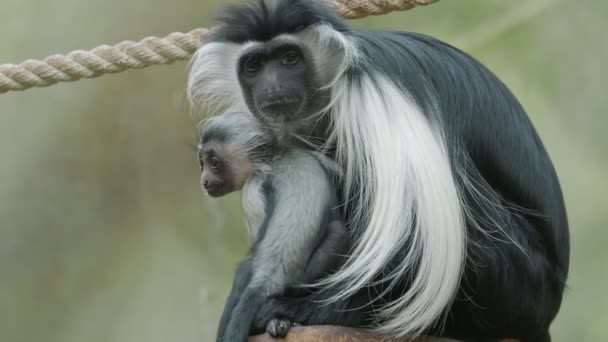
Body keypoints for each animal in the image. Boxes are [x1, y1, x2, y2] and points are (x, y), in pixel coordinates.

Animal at [196, 111, 344, 340]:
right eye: (201, 162)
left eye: (213, 162)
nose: (204, 180)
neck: (276, 158)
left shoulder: (253, 189)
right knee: (338, 235)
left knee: (248, 272)